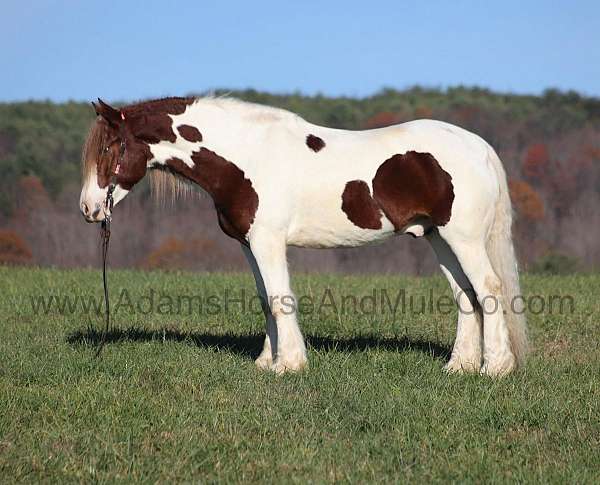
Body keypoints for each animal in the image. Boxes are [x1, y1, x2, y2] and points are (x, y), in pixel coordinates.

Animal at [81, 94, 528, 374]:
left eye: (109, 148)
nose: (88, 209)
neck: (245, 156)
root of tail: (478, 146)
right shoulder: (249, 245)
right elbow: (266, 299)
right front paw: (266, 362)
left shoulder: (268, 242)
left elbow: (281, 298)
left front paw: (289, 365)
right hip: (438, 237)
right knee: (464, 294)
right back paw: (459, 367)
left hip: (463, 237)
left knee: (488, 287)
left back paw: (494, 369)